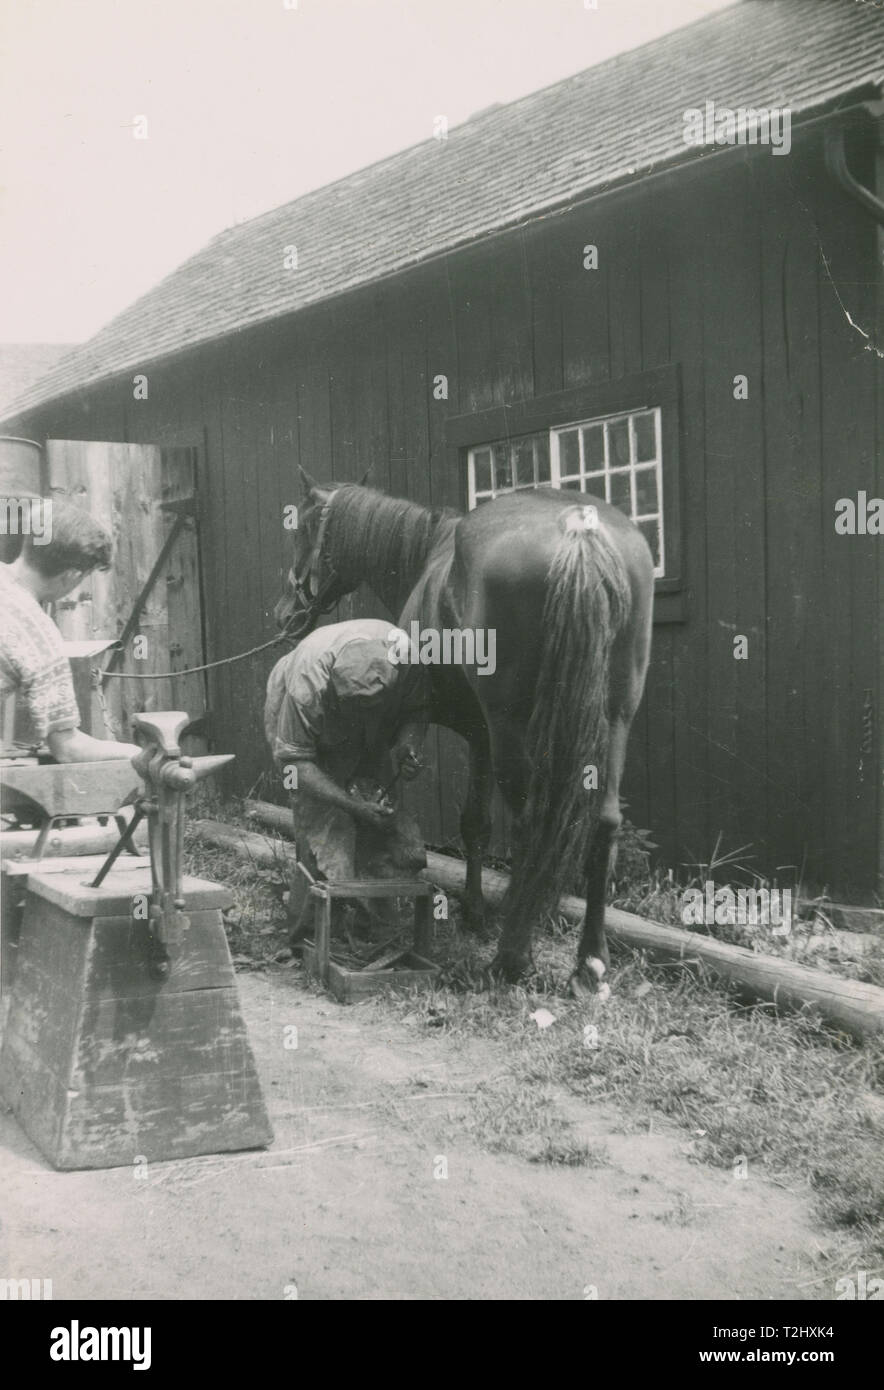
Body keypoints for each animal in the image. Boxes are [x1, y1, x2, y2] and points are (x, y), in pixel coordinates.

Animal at [276, 472, 656, 995]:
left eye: (303, 530)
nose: (284, 613)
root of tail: (578, 530)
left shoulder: (421, 723)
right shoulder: (480, 736)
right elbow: (476, 823)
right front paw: (476, 912)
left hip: (514, 727)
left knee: (529, 824)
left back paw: (511, 958)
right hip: (615, 717)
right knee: (604, 822)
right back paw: (590, 963)